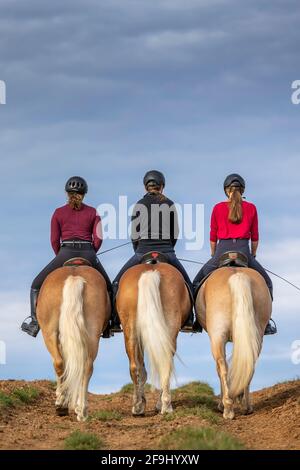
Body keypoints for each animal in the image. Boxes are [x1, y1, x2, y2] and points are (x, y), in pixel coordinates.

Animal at [36, 262, 109, 420]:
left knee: (60, 363)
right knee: (84, 366)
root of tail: (75, 277)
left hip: (49, 333)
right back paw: (80, 410)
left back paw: (65, 405)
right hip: (91, 335)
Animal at [116, 262, 190, 414]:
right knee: (165, 363)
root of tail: (150, 272)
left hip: (130, 329)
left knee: (135, 366)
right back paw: (165, 406)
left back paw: (138, 406)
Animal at [196, 266, 270, 420]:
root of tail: (237, 275)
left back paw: (228, 408)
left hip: (217, 337)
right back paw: (246, 406)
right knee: (250, 364)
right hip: (256, 335)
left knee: (222, 366)